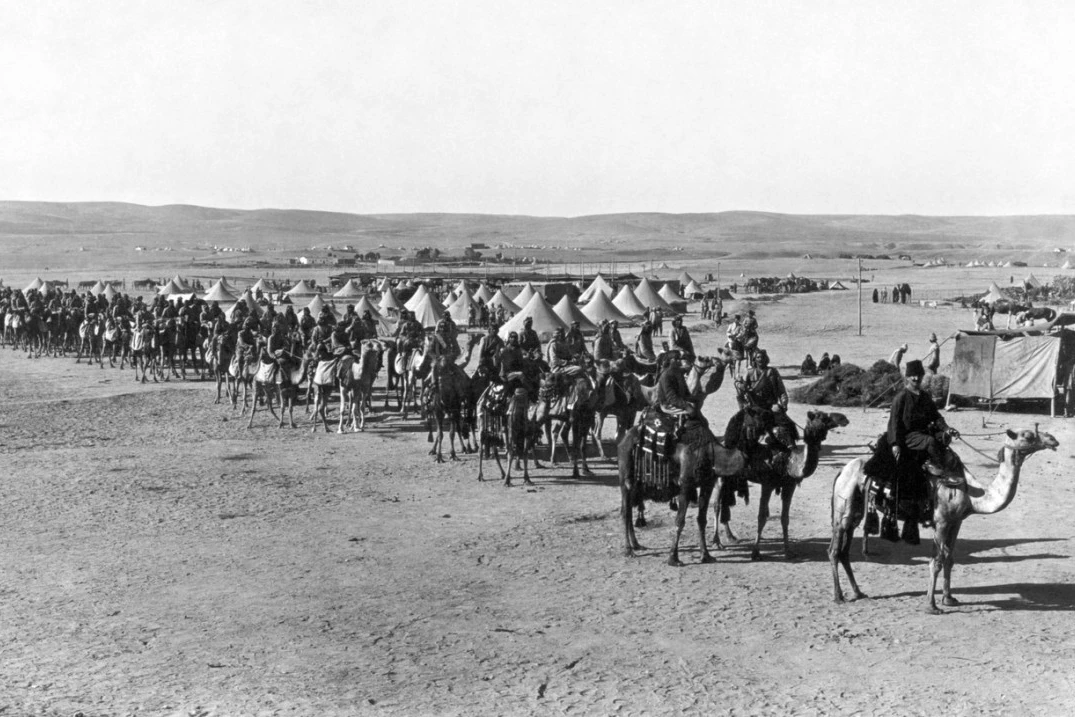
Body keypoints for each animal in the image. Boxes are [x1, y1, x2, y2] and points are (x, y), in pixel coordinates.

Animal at [713, 410, 850, 560]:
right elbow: (761, 517)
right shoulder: (767, 484)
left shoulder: (789, 486)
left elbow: (785, 518)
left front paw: (788, 551)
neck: (789, 462)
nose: (843, 418)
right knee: (716, 505)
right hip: (721, 476)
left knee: (725, 502)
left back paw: (730, 536)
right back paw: (717, 542)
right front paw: (755, 552)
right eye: (823, 417)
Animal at [829, 427, 1059, 612]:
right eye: (1027, 435)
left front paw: (949, 599)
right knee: (834, 550)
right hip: (844, 506)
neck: (972, 492)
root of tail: (842, 471)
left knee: (845, 550)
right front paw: (931, 605)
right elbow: (936, 561)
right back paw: (839, 596)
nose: (1052, 439)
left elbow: (950, 557)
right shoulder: (941, 521)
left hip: (856, 510)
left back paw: (858, 593)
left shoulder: (956, 522)